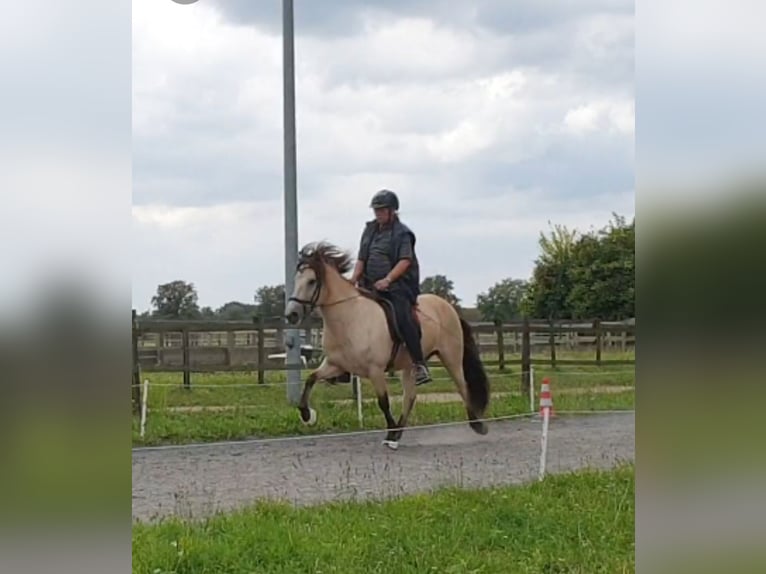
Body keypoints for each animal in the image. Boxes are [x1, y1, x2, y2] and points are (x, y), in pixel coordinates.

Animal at [284, 241, 492, 452]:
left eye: (311, 281)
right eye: (296, 280)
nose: (291, 315)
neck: (350, 318)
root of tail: (448, 307)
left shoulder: (375, 370)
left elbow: (383, 402)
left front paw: (390, 431)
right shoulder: (335, 365)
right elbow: (311, 378)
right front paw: (307, 415)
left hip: (451, 357)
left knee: (462, 386)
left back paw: (477, 425)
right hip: (410, 366)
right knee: (410, 397)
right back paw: (398, 434)